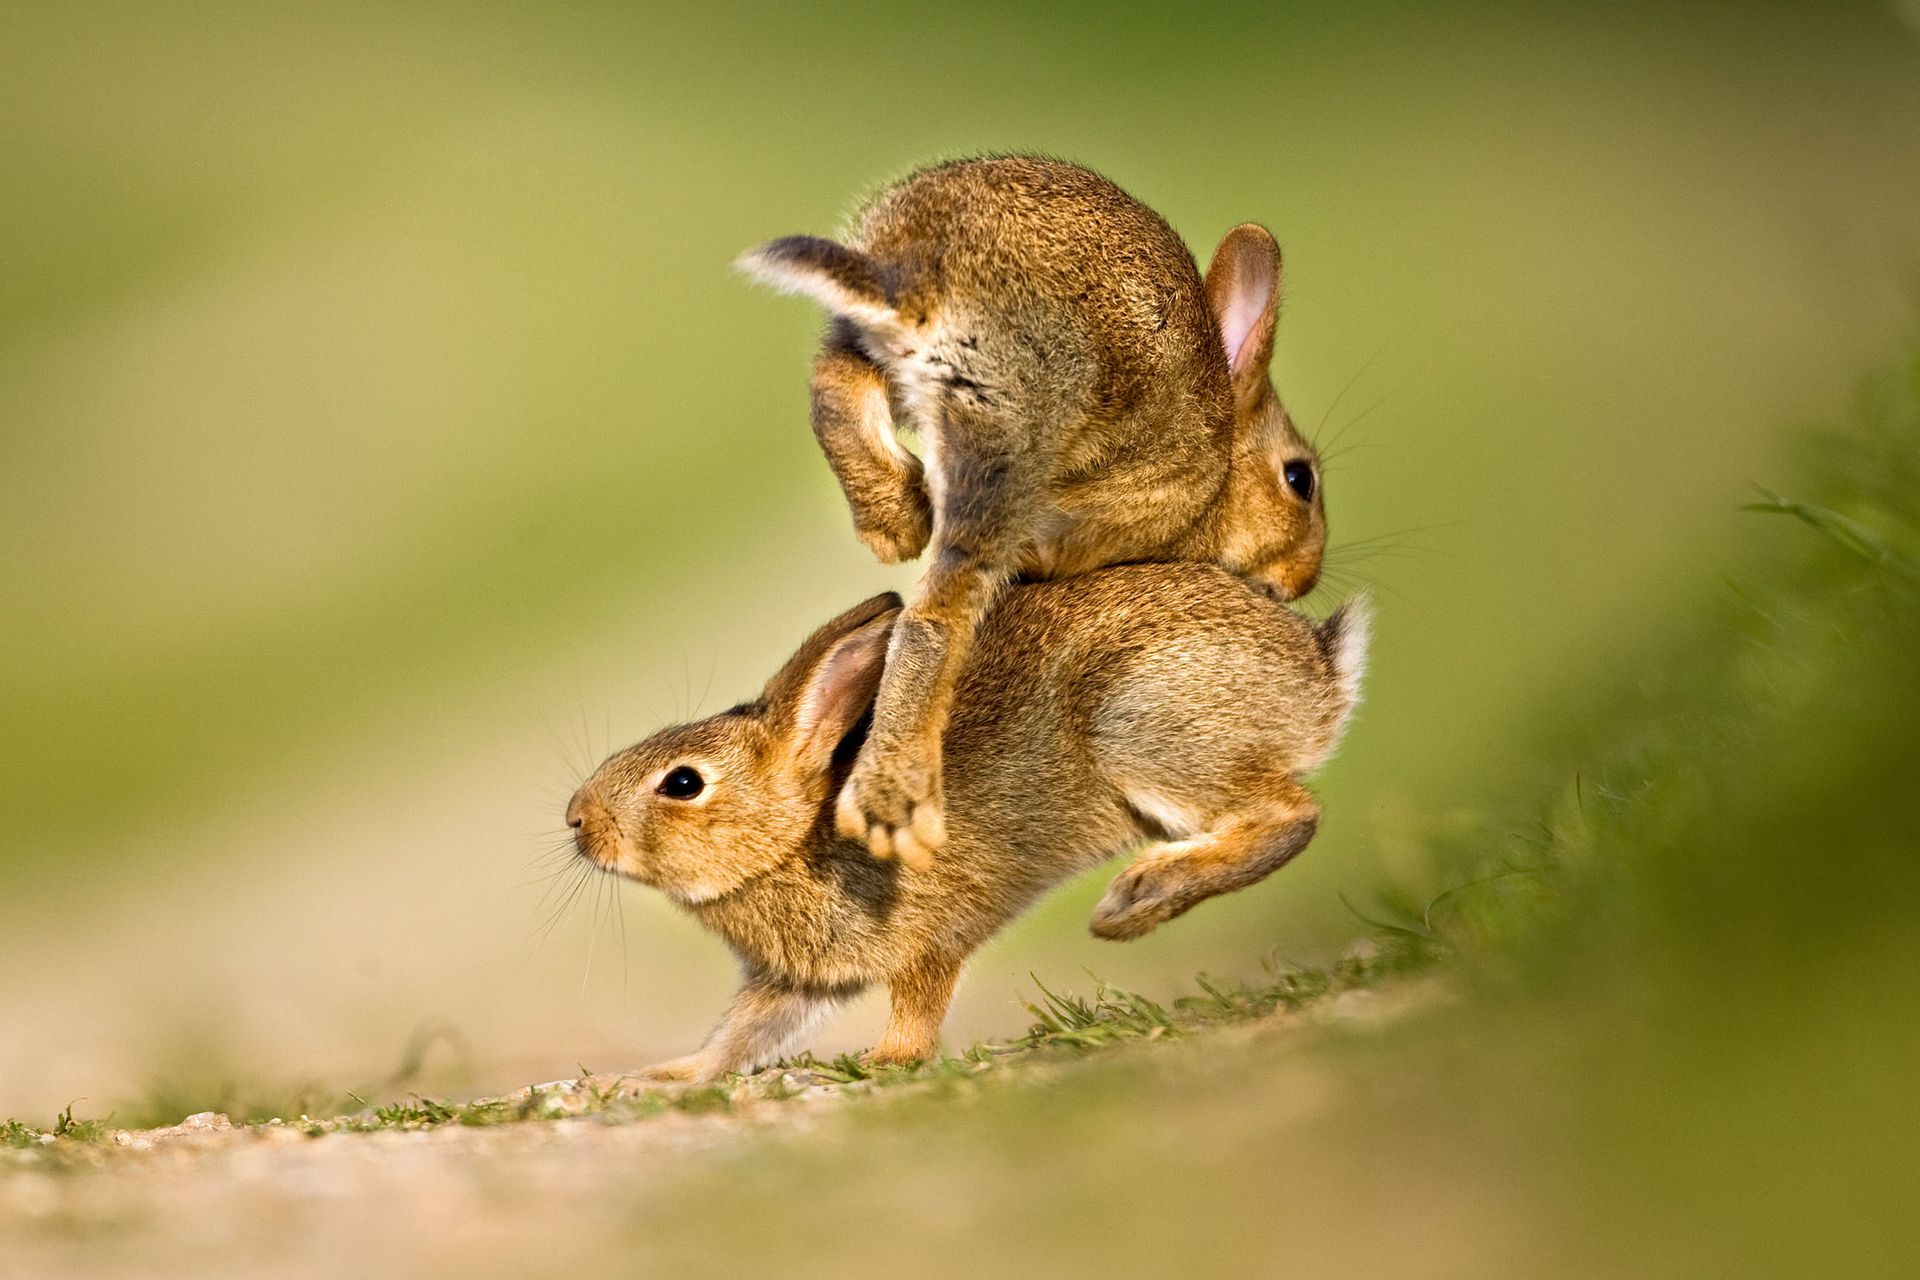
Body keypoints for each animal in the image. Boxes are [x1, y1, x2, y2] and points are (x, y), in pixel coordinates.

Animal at [564, 562, 1369, 1082]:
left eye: (684, 783)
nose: (577, 820)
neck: (793, 839)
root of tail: (1319, 673)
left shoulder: (927, 938)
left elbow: (918, 1003)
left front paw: (886, 1061)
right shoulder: (796, 980)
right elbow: (741, 1033)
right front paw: (666, 1076)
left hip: (1143, 729)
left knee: (1291, 815)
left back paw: (1137, 898)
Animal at [739, 155, 1327, 866]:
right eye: (1300, 480)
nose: (1302, 579)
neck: (1219, 469)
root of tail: (922, 269)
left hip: (884, 364)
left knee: (834, 391)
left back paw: (895, 519)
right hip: (1008, 424)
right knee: (936, 614)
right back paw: (895, 801)